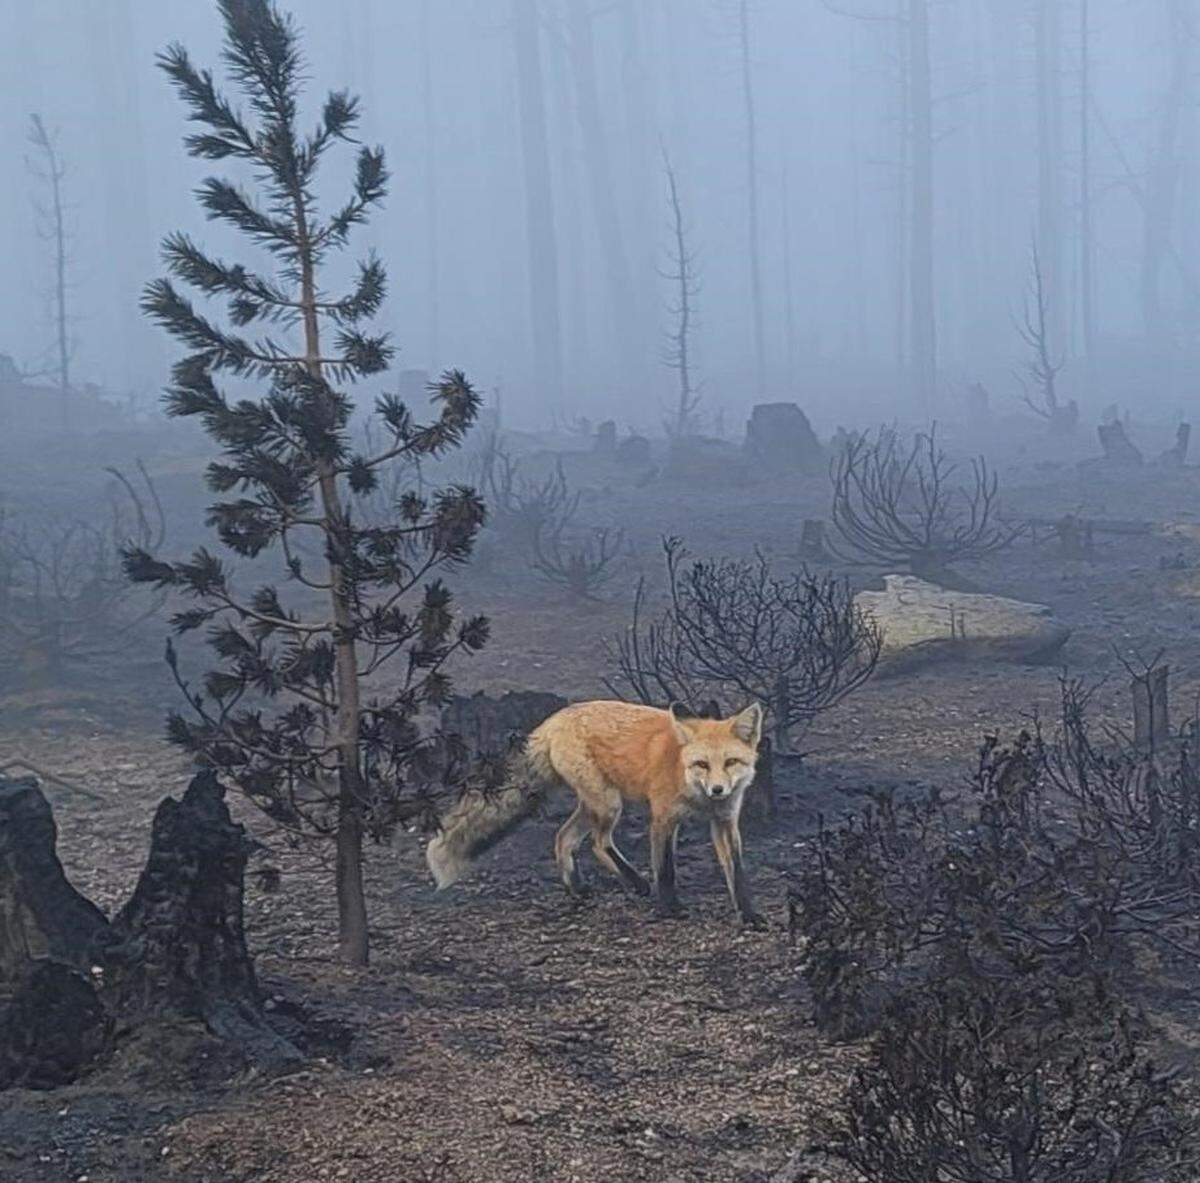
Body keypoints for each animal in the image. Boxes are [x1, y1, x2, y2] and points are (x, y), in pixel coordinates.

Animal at [426, 699, 767, 928]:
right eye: (702, 765)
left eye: (731, 762)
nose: (718, 790)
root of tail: (554, 721)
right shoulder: (663, 819)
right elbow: (666, 869)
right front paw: (670, 907)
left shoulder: (725, 822)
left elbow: (737, 873)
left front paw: (749, 915)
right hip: (608, 804)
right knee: (598, 843)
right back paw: (634, 883)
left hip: (594, 805)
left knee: (564, 838)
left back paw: (576, 888)